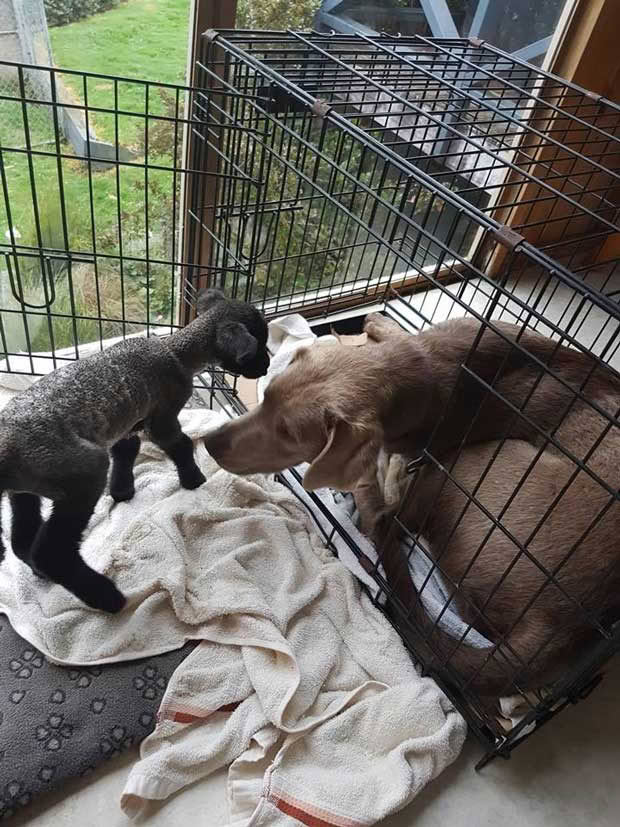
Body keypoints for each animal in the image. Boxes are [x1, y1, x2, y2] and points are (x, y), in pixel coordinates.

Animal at [0, 288, 268, 612]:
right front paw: (193, 479)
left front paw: (122, 490)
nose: (267, 366)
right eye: (258, 345)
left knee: (22, 537)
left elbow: (127, 451)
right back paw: (106, 596)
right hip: (81, 472)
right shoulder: (163, 414)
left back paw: (41, 571)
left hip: (26, 485)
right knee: (52, 551)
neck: (177, 350)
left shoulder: (128, 422)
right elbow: (180, 444)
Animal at [205, 316, 620, 700]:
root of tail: (559, 619)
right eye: (268, 395)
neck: (424, 367)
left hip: (472, 460)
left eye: (290, 435)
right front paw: (373, 325)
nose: (209, 442)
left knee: (386, 519)